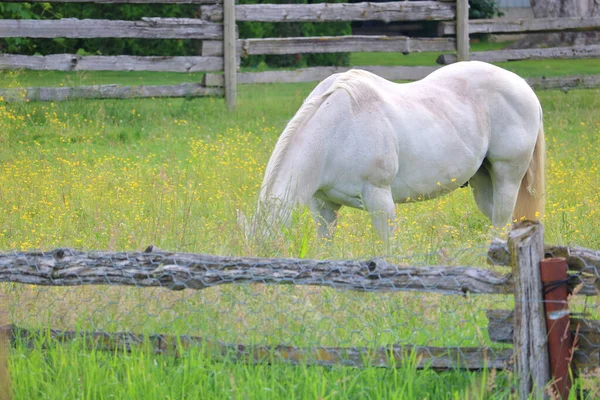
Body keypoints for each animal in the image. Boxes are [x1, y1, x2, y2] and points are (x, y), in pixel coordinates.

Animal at [255, 59, 548, 241]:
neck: (335, 131)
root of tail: (523, 86)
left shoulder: (379, 199)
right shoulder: (323, 205)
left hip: (507, 176)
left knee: (501, 220)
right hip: (483, 182)